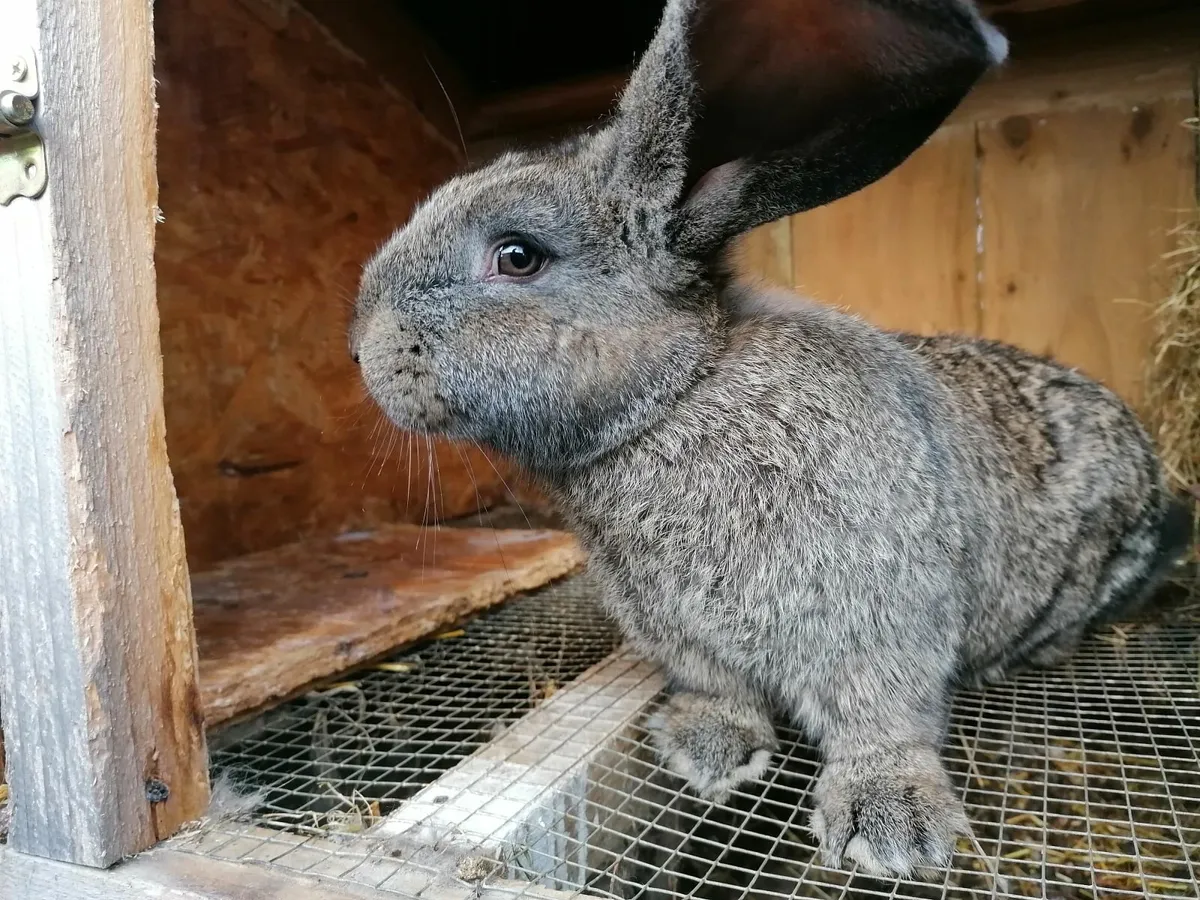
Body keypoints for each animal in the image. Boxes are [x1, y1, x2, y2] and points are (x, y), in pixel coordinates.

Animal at [349, 0, 1193, 878]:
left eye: (518, 256)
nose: (360, 350)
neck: (678, 396)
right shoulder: (687, 641)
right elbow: (722, 693)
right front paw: (707, 748)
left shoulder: (881, 620)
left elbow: (881, 720)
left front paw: (889, 823)